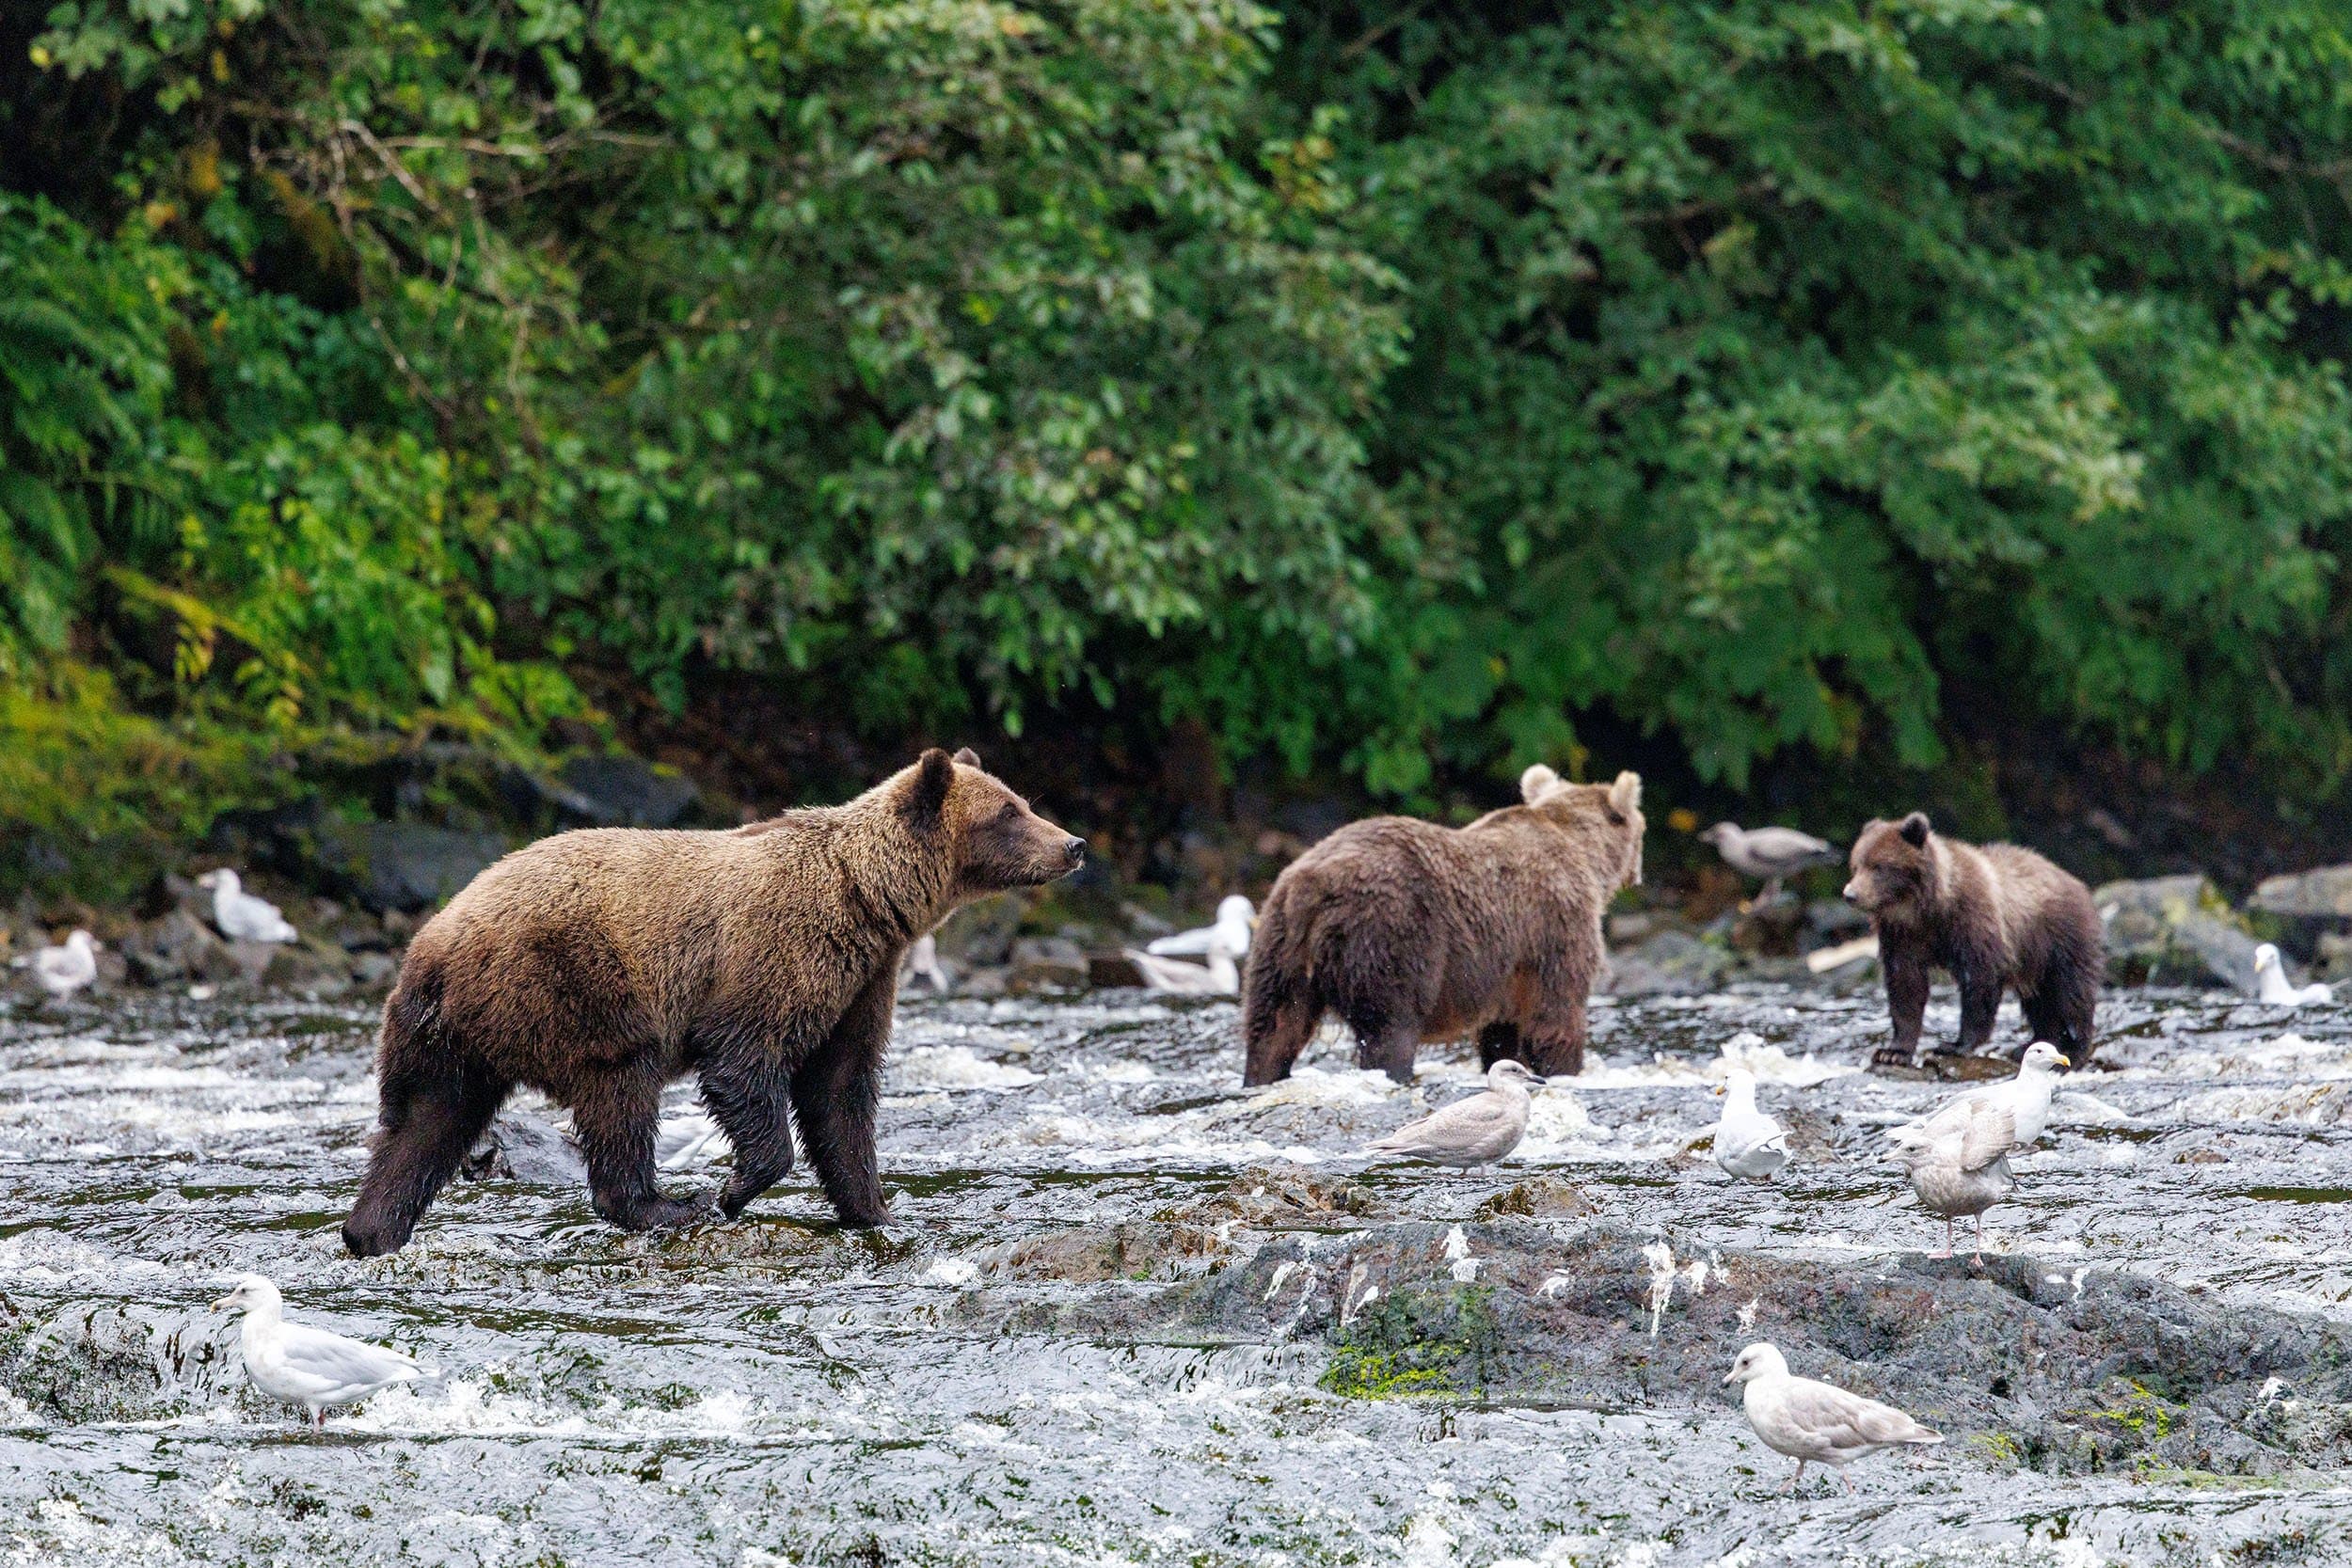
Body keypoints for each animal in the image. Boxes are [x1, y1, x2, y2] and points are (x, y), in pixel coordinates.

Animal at [341, 748, 1083, 1257]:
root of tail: (434, 943)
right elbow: (744, 1060)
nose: (1073, 844)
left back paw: (371, 1227)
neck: (869, 902)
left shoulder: (862, 983)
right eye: (1009, 813)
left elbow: (842, 1091)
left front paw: (875, 1206)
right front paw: (733, 1188)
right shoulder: (780, 949)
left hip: (447, 1034)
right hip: (571, 986)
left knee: (423, 1123)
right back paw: (665, 1204)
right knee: (619, 1089)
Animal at [1240, 765, 1645, 1085]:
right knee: (1390, 1030)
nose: (1638, 875)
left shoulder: (1508, 970)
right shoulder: (1555, 926)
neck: (1586, 856)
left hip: (1278, 944)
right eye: (1643, 830)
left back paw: (1261, 1075)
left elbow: (1502, 1032)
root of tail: (1310, 884)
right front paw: (1566, 1068)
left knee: (1274, 1028)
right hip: (1389, 934)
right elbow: (1556, 1015)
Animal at [1842, 811, 2101, 1070]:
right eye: (1855, 865)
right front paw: (1893, 1052)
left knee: (2072, 993)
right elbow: (1905, 986)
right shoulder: (1902, 936)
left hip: (2061, 940)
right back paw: (2031, 1044)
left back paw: (2074, 1050)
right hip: (2033, 960)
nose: (1850, 894)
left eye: (1879, 866)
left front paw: (1956, 1044)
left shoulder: (1971, 923)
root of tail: (2074, 881)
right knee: (2040, 1001)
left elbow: (1979, 982)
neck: (1926, 910)